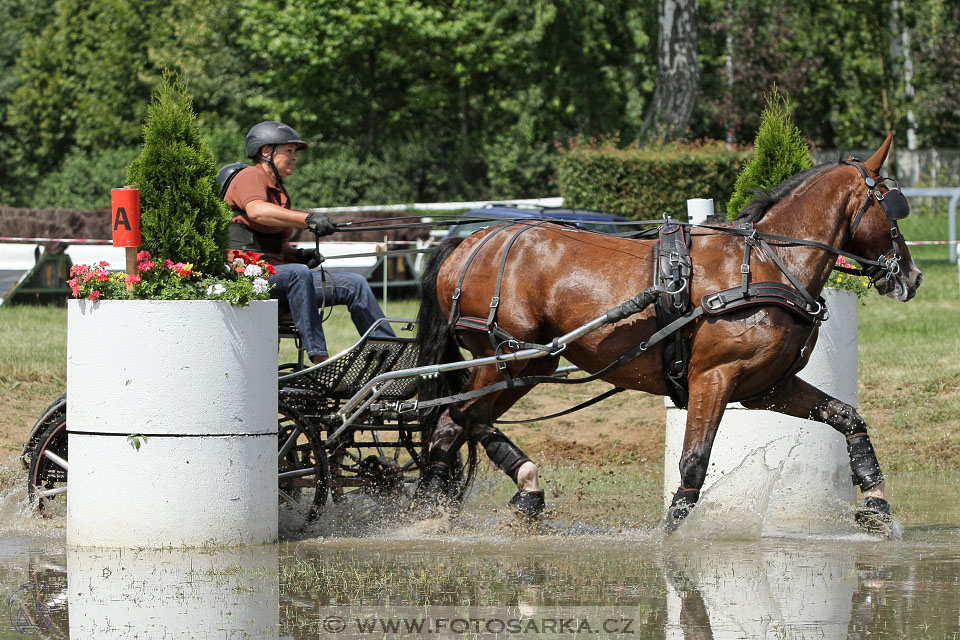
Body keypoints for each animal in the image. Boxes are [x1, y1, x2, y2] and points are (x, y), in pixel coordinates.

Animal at [412, 138, 924, 532]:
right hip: (510, 357)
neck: (768, 265)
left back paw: (452, 507)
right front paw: (670, 537)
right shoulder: (713, 378)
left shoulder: (767, 387)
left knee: (454, 423)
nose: (912, 276)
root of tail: (467, 243)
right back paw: (499, 493)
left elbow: (847, 417)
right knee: (461, 415)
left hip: (527, 364)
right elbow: (693, 460)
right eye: (894, 206)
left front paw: (877, 506)